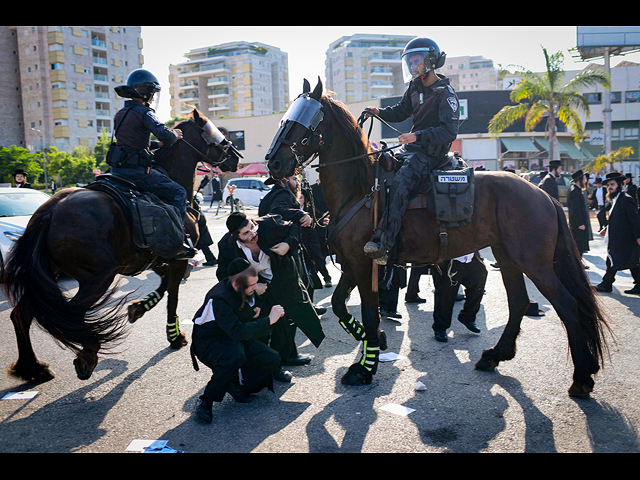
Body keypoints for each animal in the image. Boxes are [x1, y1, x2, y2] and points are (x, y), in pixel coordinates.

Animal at [1, 108, 240, 382]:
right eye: (214, 133)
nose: (236, 157)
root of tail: (51, 210)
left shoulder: (153, 259)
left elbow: (163, 286)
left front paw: (139, 308)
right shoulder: (177, 258)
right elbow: (173, 295)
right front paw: (174, 335)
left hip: (47, 276)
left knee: (21, 313)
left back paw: (32, 367)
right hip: (96, 279)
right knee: (70, 315)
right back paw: (87, 354)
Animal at [266, 79, 616, 400]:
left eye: (304, 122)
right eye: (284, 119)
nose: (273, 162)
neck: (361, 190)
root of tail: (543, 194)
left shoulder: (365, 264)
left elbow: (368, 312)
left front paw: (365, 367)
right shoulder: (354, 264)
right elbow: (340, 305)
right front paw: (373, 342)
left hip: (535, 263)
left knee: (566, 305)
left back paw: (581, 377)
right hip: (508, 258)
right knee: (518, 303)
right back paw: (495, 356)